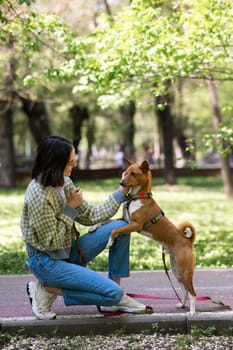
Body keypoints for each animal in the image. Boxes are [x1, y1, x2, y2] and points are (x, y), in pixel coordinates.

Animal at [107, 160, 197, 316]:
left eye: (133, 173)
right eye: (125, 172)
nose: (121, 183)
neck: (139, 197)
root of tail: (187, 240)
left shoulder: (135, 225)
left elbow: (114, 230)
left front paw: (109, 241)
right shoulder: (125, 220)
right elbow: (107, 223)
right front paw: (93, 228)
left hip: (185, 271)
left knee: (193, 292)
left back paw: (192, 312)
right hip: (177, 271)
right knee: (185, 289)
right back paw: (182, 305)